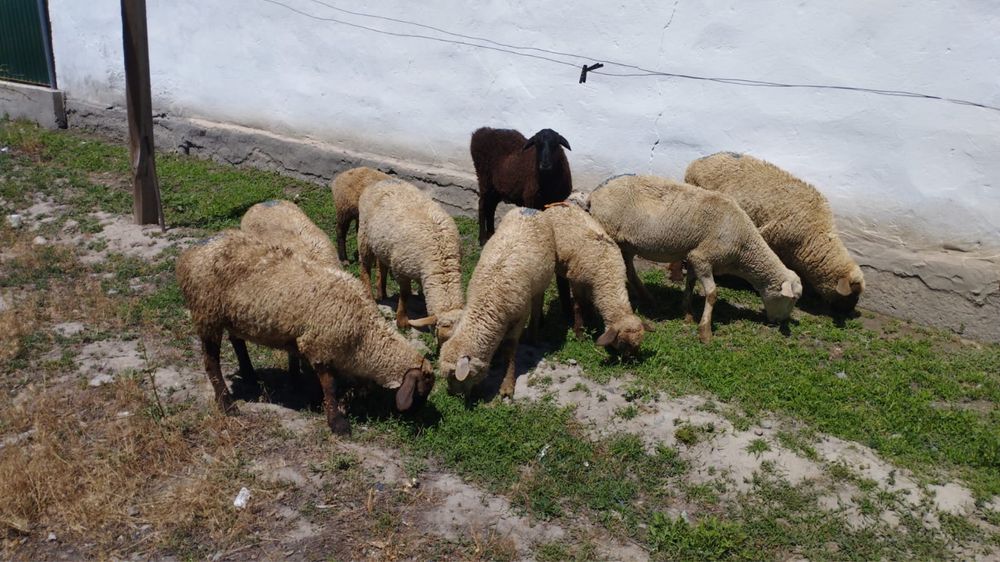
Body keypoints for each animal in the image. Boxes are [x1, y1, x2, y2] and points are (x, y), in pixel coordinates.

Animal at [175, 229, 435, 435]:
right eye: (421, 392)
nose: (417, 418)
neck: (364, 334)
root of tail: (189, 255)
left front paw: (304, 388)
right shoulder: (320, 345)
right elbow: (330, 387)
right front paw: (337, 423)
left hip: (232, 315)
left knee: (237, 340)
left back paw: (250, 375)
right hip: (207, 313)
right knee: (211, 363)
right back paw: (227, 404)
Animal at [356, 179, 465, 343]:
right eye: (443, 339)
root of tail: (380, 181)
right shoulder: (401, 268)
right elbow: (405, 294)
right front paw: (402, 322)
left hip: (383, 244)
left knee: (382, 265)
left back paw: (382, 292)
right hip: (364, 235)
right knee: (365, 267)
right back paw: (370, 296)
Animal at [439, 207, 555, 400]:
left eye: (456, 377)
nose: (455, 395)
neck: (488, 298)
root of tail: (529, 209)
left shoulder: (519, 316)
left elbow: (510, 347)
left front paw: (507, 385)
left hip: (542, 282)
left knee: (538, 302)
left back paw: (534, 335)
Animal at [541, 202, 652, 356]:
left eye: (638, 344)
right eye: (622, 343)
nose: (630, 359)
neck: (607, 272)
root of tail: (554, 206)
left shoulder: (593, 286)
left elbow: (590, 303)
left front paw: (592, 320)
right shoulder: (577, 283)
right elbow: (578, 307)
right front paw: (580, 333)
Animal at [587, 174, 803, 343]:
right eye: (792, 299)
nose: (779, 322)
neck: (744, 246)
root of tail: (595, 194)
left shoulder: (693, 256)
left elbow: (690, 283)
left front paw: (687, 313)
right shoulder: (703, 257)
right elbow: (712, 293)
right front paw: (705, 332)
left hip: (628, 244)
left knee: (630, 271)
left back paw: (648, 298)